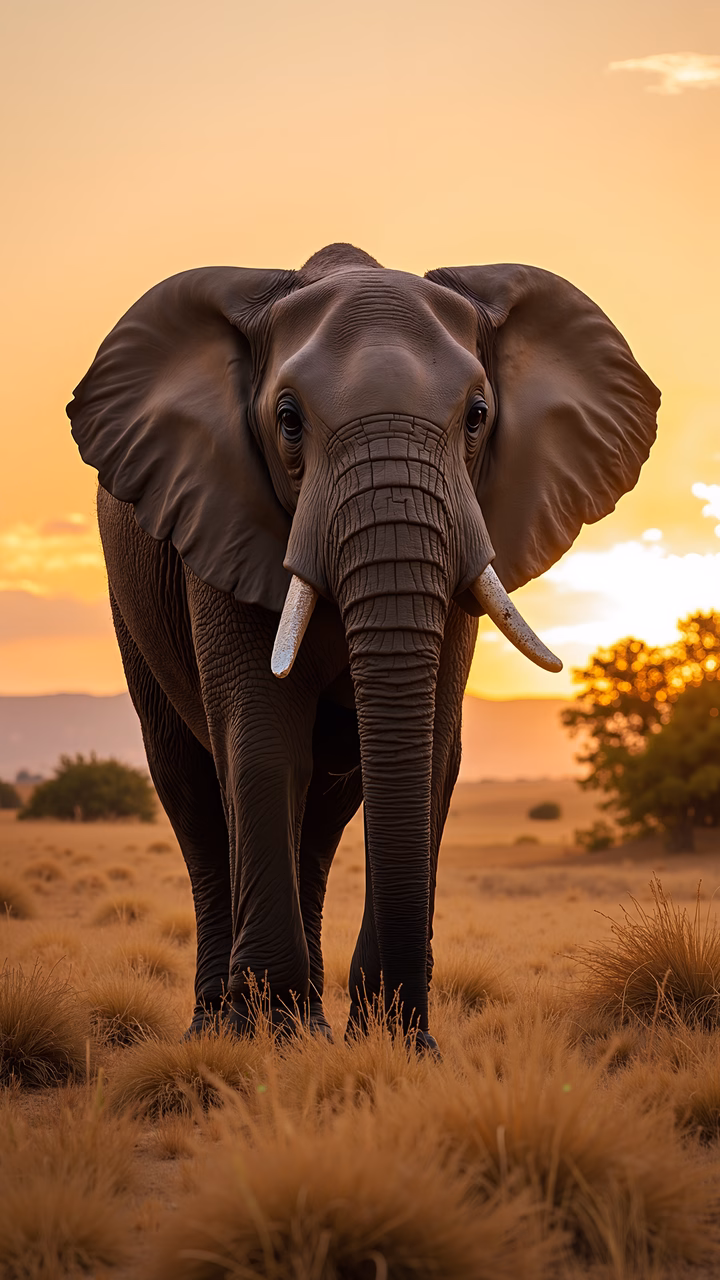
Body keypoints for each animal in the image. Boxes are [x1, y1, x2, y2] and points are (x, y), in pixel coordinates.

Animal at [67, 243, 659, 1050]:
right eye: (287, 421)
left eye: (478, 416)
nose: (400, 1025)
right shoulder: (218, 516)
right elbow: (263, 744)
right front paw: (266, 1041)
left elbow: (431, 755)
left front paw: (397, 1046)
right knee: (191, 791)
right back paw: (220, 1030)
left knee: (322, 819)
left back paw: (310, 1027)